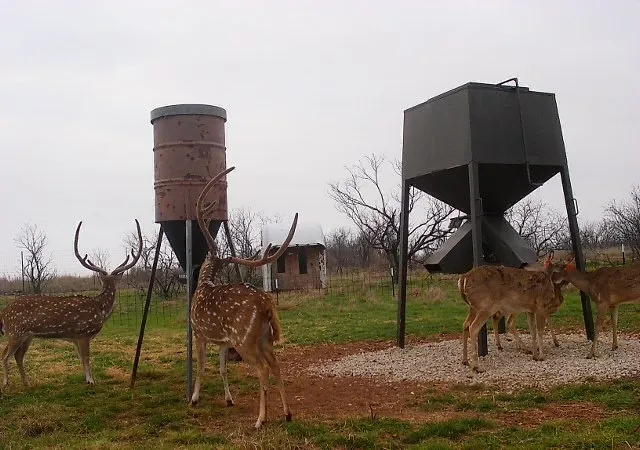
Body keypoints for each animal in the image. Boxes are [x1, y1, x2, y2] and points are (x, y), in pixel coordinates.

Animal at [1, 219, 142, 389]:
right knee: (5, 355)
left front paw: (88, 379)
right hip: (15, 332)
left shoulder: (75, 337)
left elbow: (81, 359)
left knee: (18, 356)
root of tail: (3, 313)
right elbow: (86, 358)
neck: (100, 308)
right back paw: (6, 384)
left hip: (27, 336)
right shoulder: (83, 332)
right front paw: (91, 381)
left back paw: (27, 383)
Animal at [188, 165, 298, 430]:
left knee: (262, 369)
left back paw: (260, 419)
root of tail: (266, 303)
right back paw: (287, 414)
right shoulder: (223, 340)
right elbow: (222, 369)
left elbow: (202, 366)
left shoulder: (199, 331)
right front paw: (229, 400)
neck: (203, 286)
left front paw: (194, 399)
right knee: (277, 365)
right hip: (264, 337)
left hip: (244, 338)